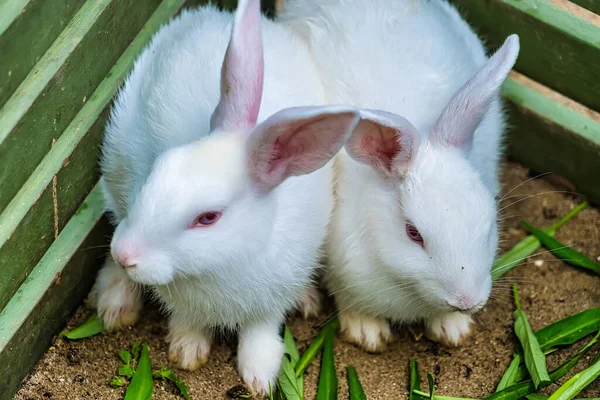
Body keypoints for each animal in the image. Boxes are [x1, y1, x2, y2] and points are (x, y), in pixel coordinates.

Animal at [91, 0, 358, 394]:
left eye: (209, 217)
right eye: (159, 168)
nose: (127, 255)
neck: (220, 266)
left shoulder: (273, 295)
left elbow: (260, 332)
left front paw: (260, 377)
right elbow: (187, 319)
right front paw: (187, 350)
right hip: (116, 173)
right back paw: (115, 304)